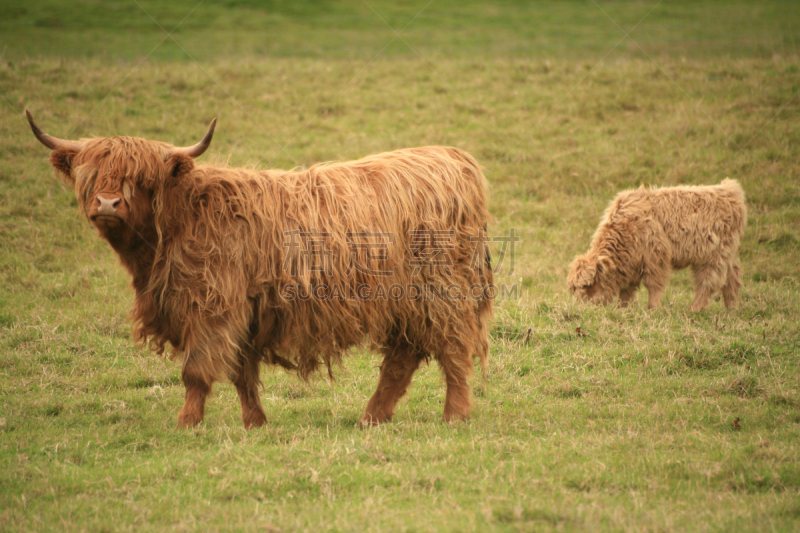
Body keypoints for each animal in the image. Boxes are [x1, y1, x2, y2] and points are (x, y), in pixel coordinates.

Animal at [26, 111, 494, 428]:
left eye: (142, 180)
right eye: (90, 176)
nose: (107, 204)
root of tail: (452, 158)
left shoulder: (212, 306)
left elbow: (196, 371)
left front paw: (187, 422)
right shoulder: (242, 313)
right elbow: (241, 373)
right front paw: (256, 422)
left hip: (440, 292)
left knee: (453, 349)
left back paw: (454, 415)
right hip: (405, 304)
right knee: (402, 357)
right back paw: (371, 417)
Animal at [564, 180, 748, 310]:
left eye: (588, 285)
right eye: (573, 289)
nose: (582, 309)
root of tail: (730, 190)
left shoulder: (655, 257)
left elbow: (653, 285)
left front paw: (652, 308)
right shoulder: (633, 263)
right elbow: (627, 289)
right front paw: (622, 308)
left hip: (713, 257)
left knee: (708, 283)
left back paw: (693, 309)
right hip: (728, 255)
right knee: (733, 279)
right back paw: (730, 310)